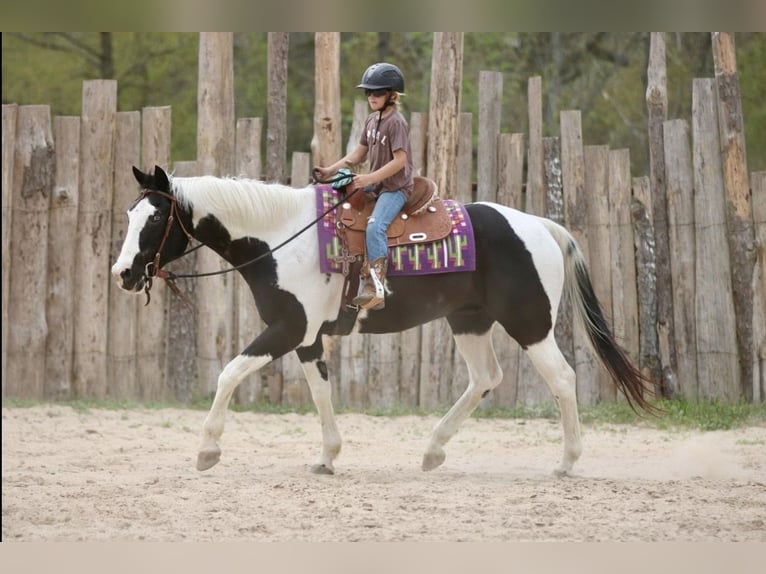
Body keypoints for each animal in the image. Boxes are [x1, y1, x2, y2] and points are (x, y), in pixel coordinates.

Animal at [111, 165, 655, 476]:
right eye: (130, 214)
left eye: (155, 219)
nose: (123, 274)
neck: (279, 237)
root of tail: (539, 225)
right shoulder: (306, 338)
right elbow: (320, 391)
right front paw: (328, 456)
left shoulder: (287, 330)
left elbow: (229, 373)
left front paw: (207, 451)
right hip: (469, 321)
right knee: (485, 378)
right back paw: (433, 451)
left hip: (531, 324)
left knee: (562, 379)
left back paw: (567, 462)